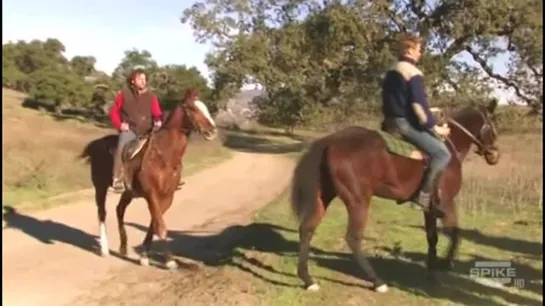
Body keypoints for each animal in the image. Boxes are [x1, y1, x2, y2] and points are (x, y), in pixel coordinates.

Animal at [81, 88, 217, 268]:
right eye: (193, 108)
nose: (212, 131)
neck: (165, 155)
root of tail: (95, 144)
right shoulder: (151, 194)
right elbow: (160, 226)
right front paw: (170, 261)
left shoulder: (167, 196)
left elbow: (154, 223)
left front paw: (144, 255)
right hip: (100, 187)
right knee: (102, 213)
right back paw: (104, 249)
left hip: (128, 193)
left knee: (119, 210)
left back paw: (123, 246)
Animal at [292, 98, 500, 292]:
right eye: (493, 126)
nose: (495, 155)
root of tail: (330, 141)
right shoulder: (447, 203)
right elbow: (456, 234)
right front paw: (445, 264)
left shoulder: (429, 208)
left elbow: (432, 238)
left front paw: (432, 273)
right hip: (358, 201)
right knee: (353, 238)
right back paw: (378, 282)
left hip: (324, 196)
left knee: (307, 229)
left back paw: (308, 280)